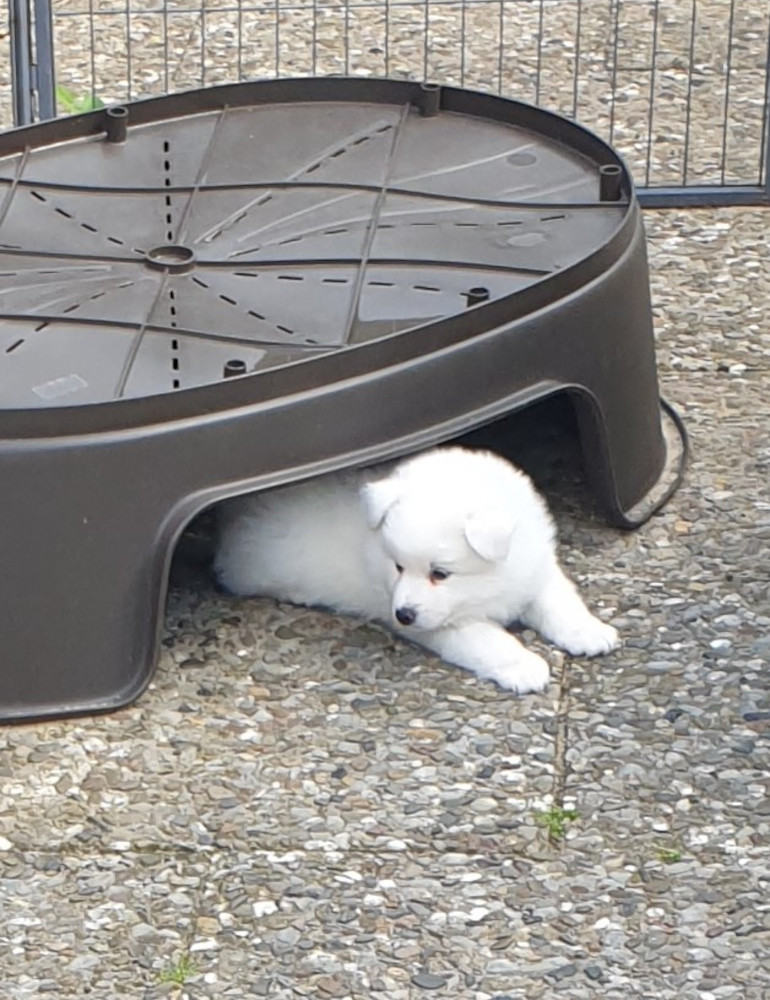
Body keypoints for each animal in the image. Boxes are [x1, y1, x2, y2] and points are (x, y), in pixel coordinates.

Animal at [213, 450, 616, 692]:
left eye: (440, 573)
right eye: (398, 566)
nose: (403, 615)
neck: (490, 583)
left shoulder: (535, 569)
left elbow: (559, 600)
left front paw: (588, 631)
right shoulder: (446, 625)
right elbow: (487, 640)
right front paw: (522, 665)